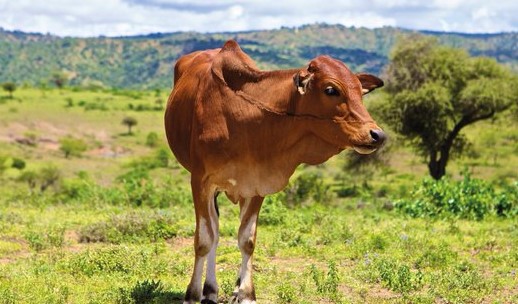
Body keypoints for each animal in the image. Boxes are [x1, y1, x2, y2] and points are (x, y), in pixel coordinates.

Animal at [166, 40, 386, 304]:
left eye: (360, 92)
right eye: (331, 90)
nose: (377, 135)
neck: (243, 118)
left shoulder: (256, 184)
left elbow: (247, 240)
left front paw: (246, 293)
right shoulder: (200, 182)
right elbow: (204, 240)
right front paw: (192, 294)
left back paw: (220, 289)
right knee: (214, 233)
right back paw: (208, 291)